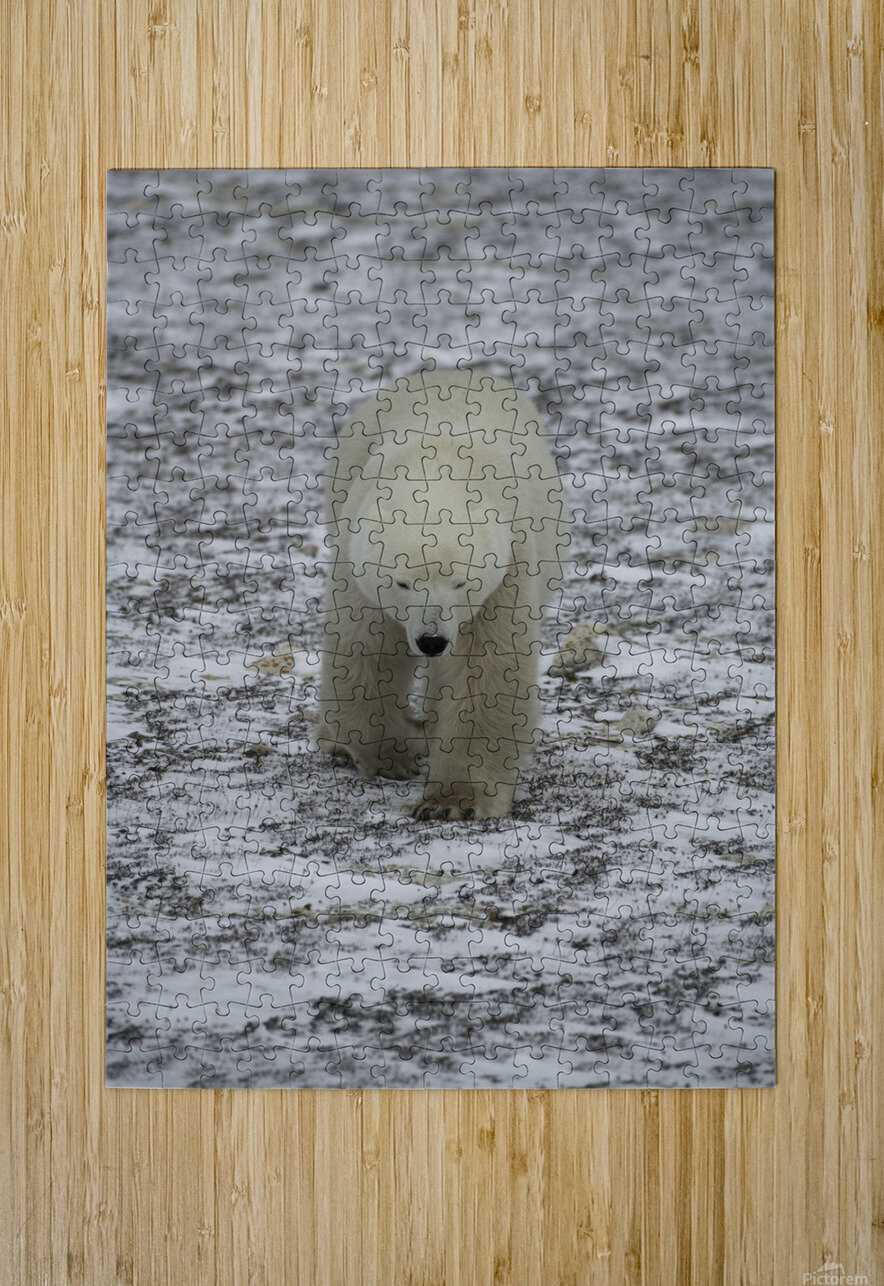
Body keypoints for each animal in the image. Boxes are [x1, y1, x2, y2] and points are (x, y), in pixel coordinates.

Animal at [316, 368, 569, 819]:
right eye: (401, 582)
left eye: (461, 581)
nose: (431, 640)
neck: (438, 469)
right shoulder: (355, 557)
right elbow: (365, 651)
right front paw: (393, 755)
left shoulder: (508, 567)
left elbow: (486, 668)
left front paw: (453, 800)